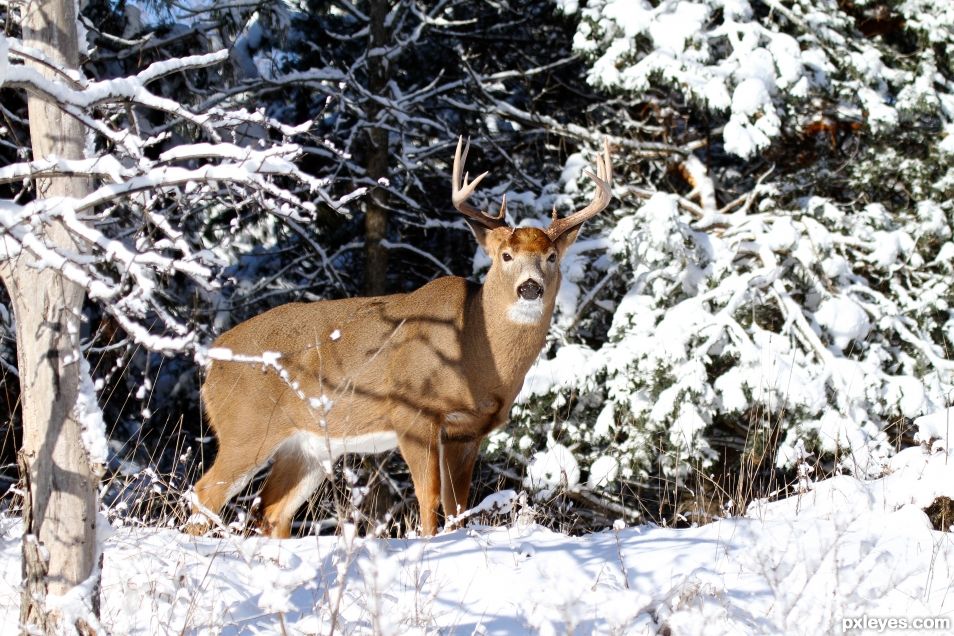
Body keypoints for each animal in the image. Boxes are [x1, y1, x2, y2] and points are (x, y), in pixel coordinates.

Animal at [186, 138, 608, 536]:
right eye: (506, 255)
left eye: (551, 256)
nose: (530, 287)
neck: (477, 356)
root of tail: (211, 363)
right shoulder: (412, 411)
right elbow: (429, 496)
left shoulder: (470, 430)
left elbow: (458, 504)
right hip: (245, 426)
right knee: (204, 493)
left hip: (306, 447)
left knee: (273, 511)